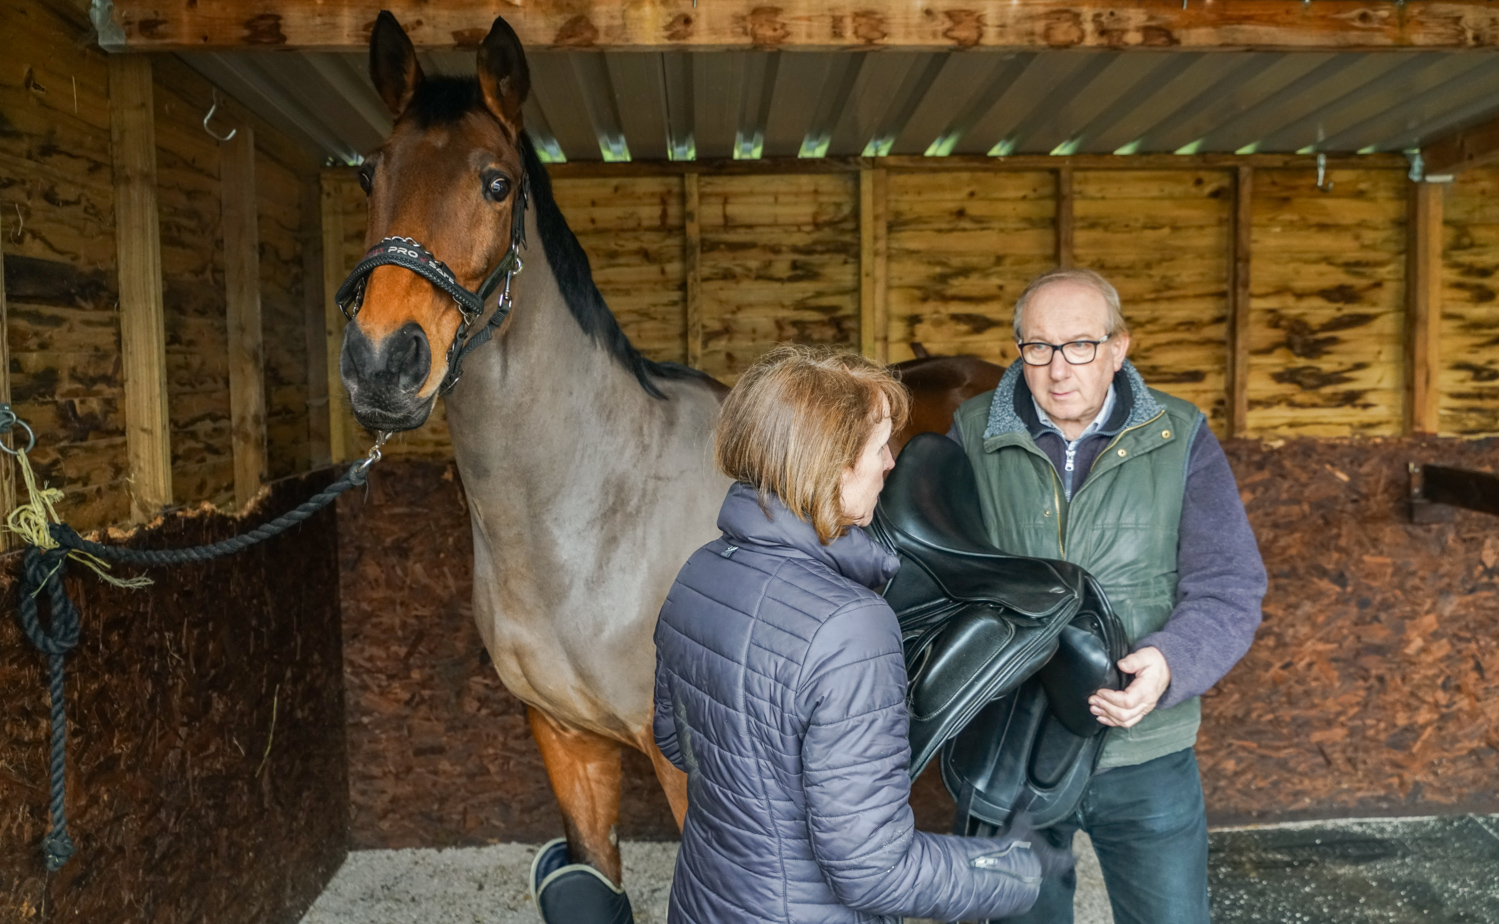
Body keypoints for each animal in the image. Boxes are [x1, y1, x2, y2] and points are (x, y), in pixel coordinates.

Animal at [334, 12, 1001, 918]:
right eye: (371, 174)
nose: (381, 362)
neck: (593, 518)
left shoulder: (687, 765)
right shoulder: (565, 741)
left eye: (496, 184)